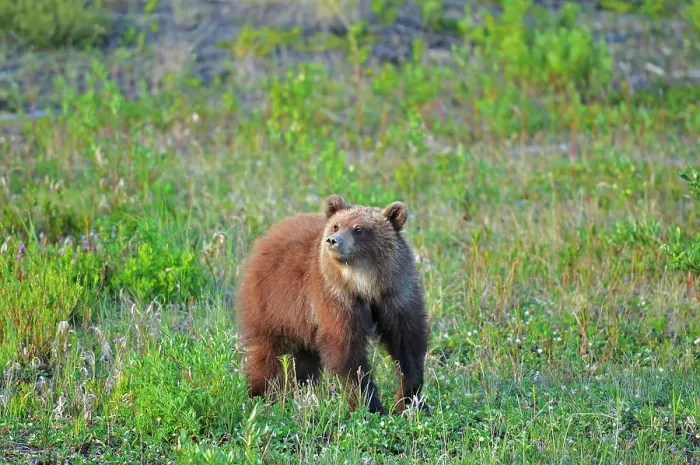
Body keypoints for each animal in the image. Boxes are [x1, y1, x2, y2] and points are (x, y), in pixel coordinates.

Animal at [235, 194, 430, 415]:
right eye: (336, 225)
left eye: (359, 229)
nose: (333, 240)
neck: (365, 285)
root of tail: (267, 236)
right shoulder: (335, 297)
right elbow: (347, 349)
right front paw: (369, 404)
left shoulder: (396, 294)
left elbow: (407, 341)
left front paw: (410, 400)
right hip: (272, 303)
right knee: (268, 352)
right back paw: (261, 394)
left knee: (304, 358)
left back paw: (302, 389)